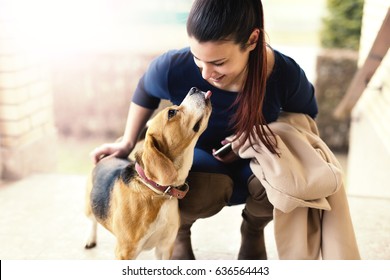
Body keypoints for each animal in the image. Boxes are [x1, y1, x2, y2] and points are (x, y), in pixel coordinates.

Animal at [84, 87, 212, 260]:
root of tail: (111, 154)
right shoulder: (125, 252)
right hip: (89, 206)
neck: (158, 191)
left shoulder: (165, 247)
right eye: (172, 112)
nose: (195, 88)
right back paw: (90, 239)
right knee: (92, 221)